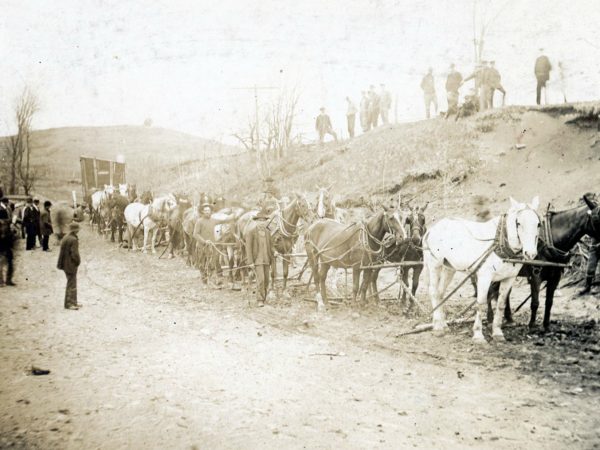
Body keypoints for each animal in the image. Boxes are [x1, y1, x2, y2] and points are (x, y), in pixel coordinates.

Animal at [422, 196, 540, 342]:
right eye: (518, 223)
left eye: (538, 224)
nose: (531, 254)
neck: (500, 242)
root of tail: (432, 229)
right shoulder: (485, 277)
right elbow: (481, 303)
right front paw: (478, 335)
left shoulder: (509, 278)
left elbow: (501, 304)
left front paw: (497, 333)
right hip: (435, 265)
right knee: (433, 292)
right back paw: (438, 327)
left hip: (449, 268)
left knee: (440, 293)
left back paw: (443, 325)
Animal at [490, 195, 600, 332]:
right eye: (597, 219)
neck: (550, 239)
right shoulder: (536, 276)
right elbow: (535, 302)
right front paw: (532, 325)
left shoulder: (555, 277)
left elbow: (549, 302)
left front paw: (546, 325)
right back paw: (490, 317)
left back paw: (508, 318)